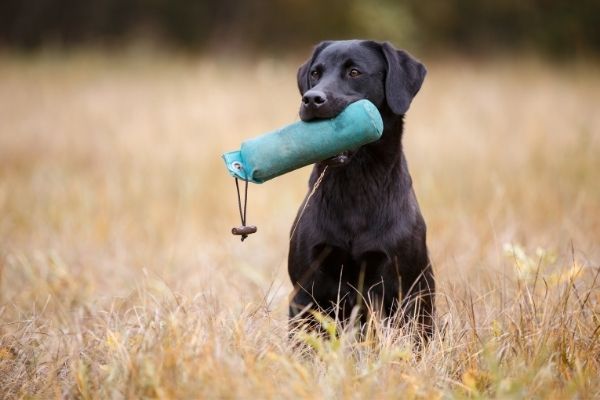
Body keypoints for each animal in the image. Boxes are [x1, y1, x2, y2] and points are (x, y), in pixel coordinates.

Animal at [288, 39, 434, 340]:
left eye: (354, 72)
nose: (311, 99)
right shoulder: (306, 289)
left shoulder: (399, 288)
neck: (354, 185)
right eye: (315, 73)